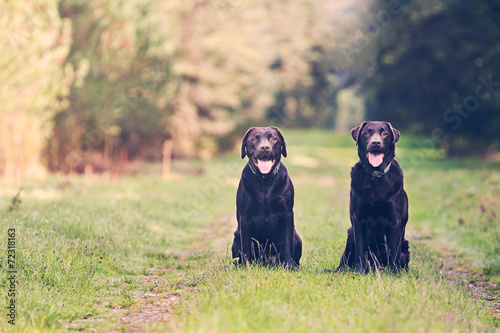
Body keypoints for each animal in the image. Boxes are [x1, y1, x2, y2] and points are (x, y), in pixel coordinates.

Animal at [230, 126, 300, 268]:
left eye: (273, 139)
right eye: (254, 139)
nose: (264, 147)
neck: (264, 180)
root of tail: (266, 260)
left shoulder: (287, 213)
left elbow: (287, 243)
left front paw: (289, 265)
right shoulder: (245, 217)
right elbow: (246, 246)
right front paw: (247, 267)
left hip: (297, 238)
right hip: (235, 240)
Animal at [336, 120, 410, 272]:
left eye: (384, 133)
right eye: (367, 133)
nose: (376, 143)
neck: (376, 177)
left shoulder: (395, 220)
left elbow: (394, 250)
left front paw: (394, 273)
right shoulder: (357, 219)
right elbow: (360, 249)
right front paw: (359, 271)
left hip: (405, 244)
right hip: (350, 233)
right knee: (344, 262)